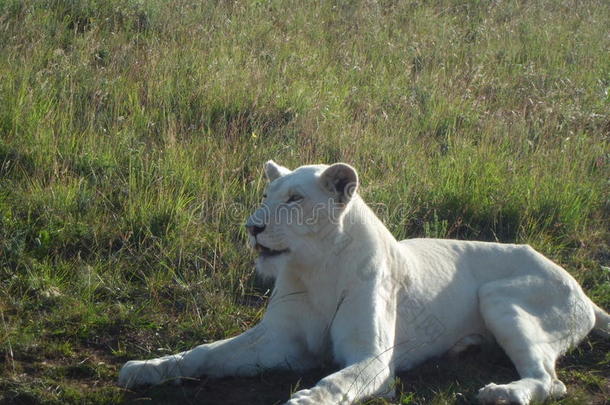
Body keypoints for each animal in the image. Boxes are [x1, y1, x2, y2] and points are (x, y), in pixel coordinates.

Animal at [119, 161, 608, 404]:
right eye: (266, 196)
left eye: (294, 199)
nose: (251, 227)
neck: (315, 266)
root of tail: (582, 290)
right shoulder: (279, 342)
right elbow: (205, 353)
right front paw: (148, 368)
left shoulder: (373, 360)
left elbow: (336, 381)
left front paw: (306, 401)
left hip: (500, 296)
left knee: (551, 382)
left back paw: (503, 394)